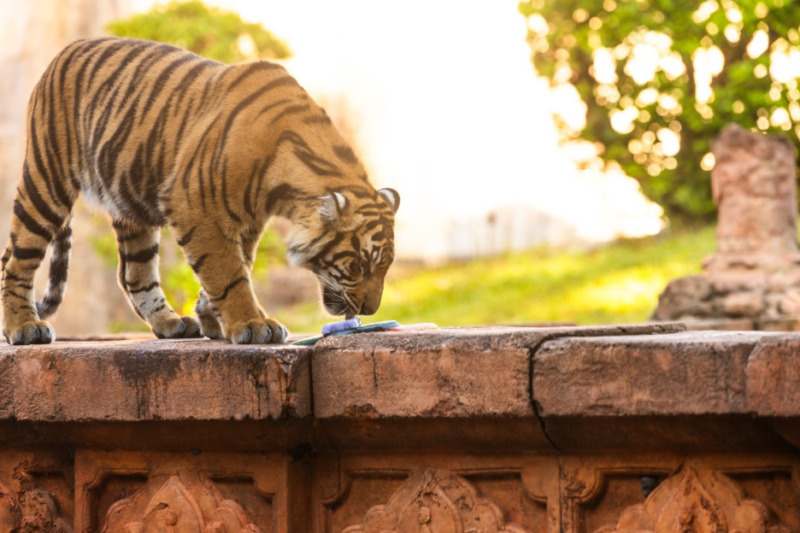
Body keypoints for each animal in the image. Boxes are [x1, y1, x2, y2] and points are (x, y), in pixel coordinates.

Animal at [1, 37, 400, 345]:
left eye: (385, 266)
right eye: (358, 265)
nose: (370, 310)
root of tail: (64, 51)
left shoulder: (247, 220)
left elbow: (237, 265)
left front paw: (213, 319)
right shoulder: (196, 205)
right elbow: (228, 272)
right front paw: (253, 324)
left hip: (132, 206)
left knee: (133, 274)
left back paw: (171, 324)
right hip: (46, 182)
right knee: (15, 260)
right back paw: (24, 328)